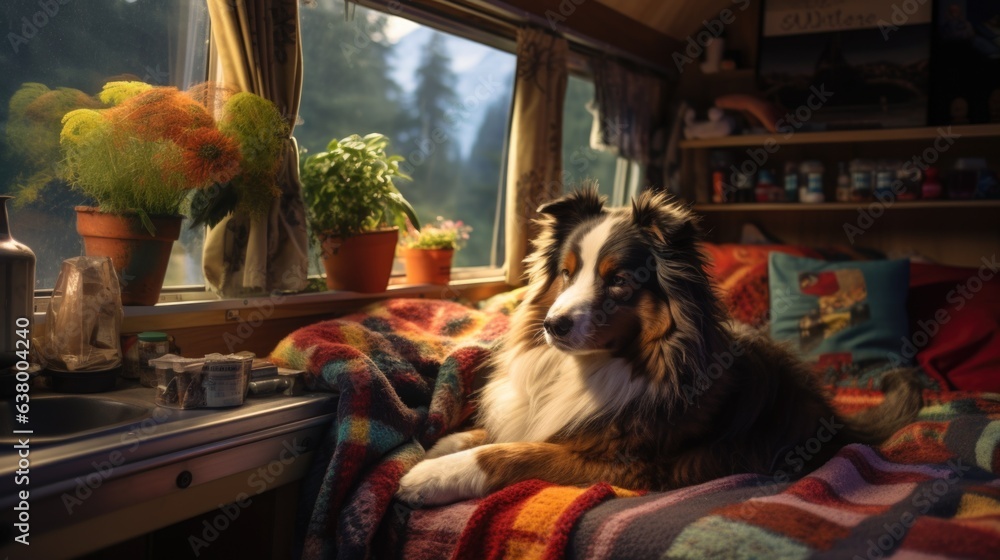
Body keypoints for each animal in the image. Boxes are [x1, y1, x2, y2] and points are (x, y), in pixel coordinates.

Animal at [396, 187, 920, 508]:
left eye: (620, 281)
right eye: (566, 272)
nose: (552, 326)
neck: (598, 366)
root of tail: (837, 419)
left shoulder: (624, 462)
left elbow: (515, 454)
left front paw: (431, 476)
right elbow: (494, 432)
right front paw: (436, 447)